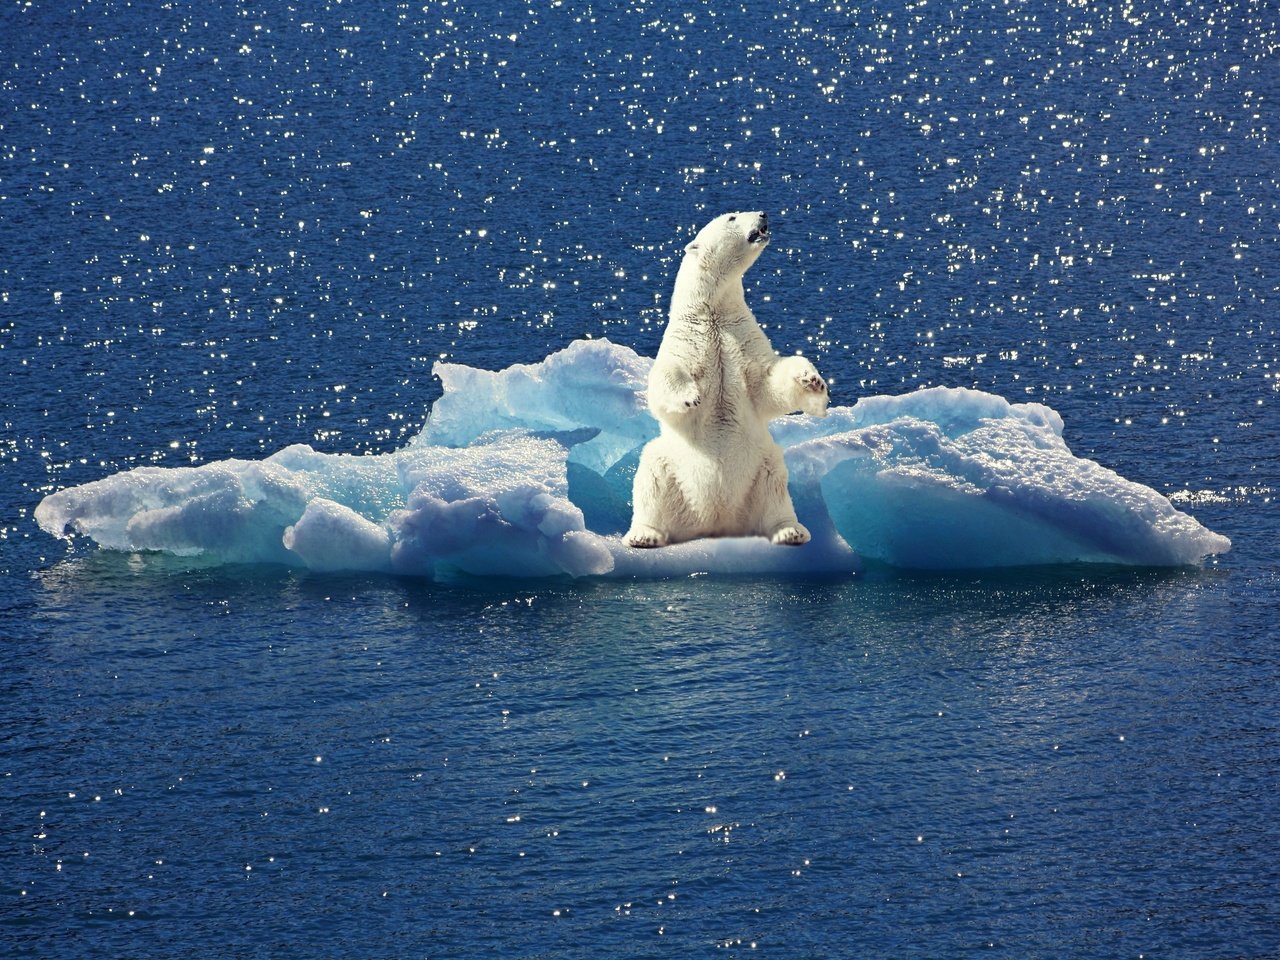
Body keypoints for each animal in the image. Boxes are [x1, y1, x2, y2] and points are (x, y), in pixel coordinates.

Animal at [622, 213, 829, 552]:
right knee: (651, 476)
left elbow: (767, 383)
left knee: (776, 487)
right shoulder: (687, 339)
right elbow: (665, 377)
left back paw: (790, 531)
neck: (713, 312)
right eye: (732, 216)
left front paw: (812, 381)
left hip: (761, 466)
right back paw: (644, 535)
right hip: (670, 465)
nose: (763, 214)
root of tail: (716, 521)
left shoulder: (742, 337)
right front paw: (690, 396)